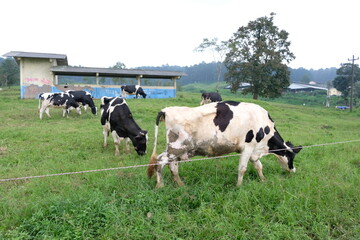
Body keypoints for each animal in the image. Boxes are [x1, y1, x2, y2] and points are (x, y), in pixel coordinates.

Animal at [148, 100, 302, 188]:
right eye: (292, 157)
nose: (294, 170)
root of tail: (166, 110)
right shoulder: (248, 148)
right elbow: (242, 169)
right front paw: (239, 187)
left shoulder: (254, 151)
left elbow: (258, 166)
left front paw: (263, 180)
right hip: (176, 148)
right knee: (161, 161)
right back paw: (160, 185)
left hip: (177, 150)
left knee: (171, 165)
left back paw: (180, 185)